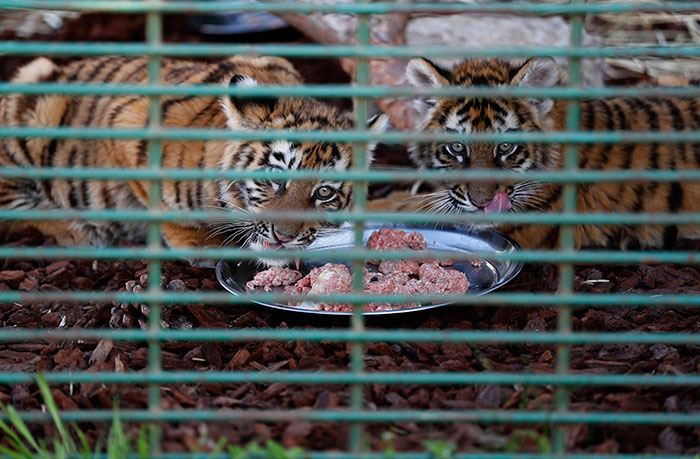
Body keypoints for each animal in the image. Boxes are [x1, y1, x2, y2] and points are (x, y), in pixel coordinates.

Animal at [0, 56, 388, 262]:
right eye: (276, 178)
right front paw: (198, 244)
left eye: (324, 193)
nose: (284, 236)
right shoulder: (125, 120)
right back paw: (80, 231)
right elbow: (165, 208)